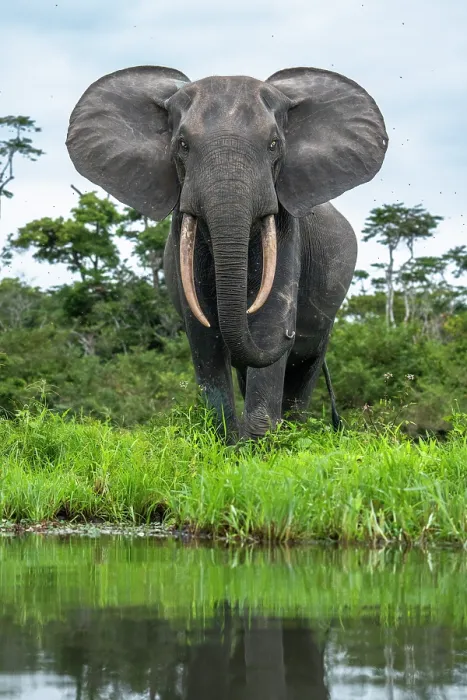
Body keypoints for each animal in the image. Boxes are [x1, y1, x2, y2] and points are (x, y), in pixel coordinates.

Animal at [66, 65, 388, 441]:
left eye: (274, 144)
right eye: (183, 145)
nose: (291, 333)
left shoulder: (287, 232)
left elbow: (267, 323)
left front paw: (260, 446)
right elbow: (205, 335)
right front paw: (227, 444)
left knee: (303, 372)